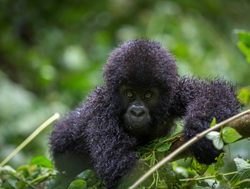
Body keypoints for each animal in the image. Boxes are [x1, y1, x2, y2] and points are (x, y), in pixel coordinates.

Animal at [50, 39, 240, 188]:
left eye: (148, 95)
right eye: (129, 94)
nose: (137, 111)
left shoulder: (174, 93)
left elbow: (213, 92)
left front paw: (201, 132)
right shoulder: (101, 112)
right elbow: (120, 169)